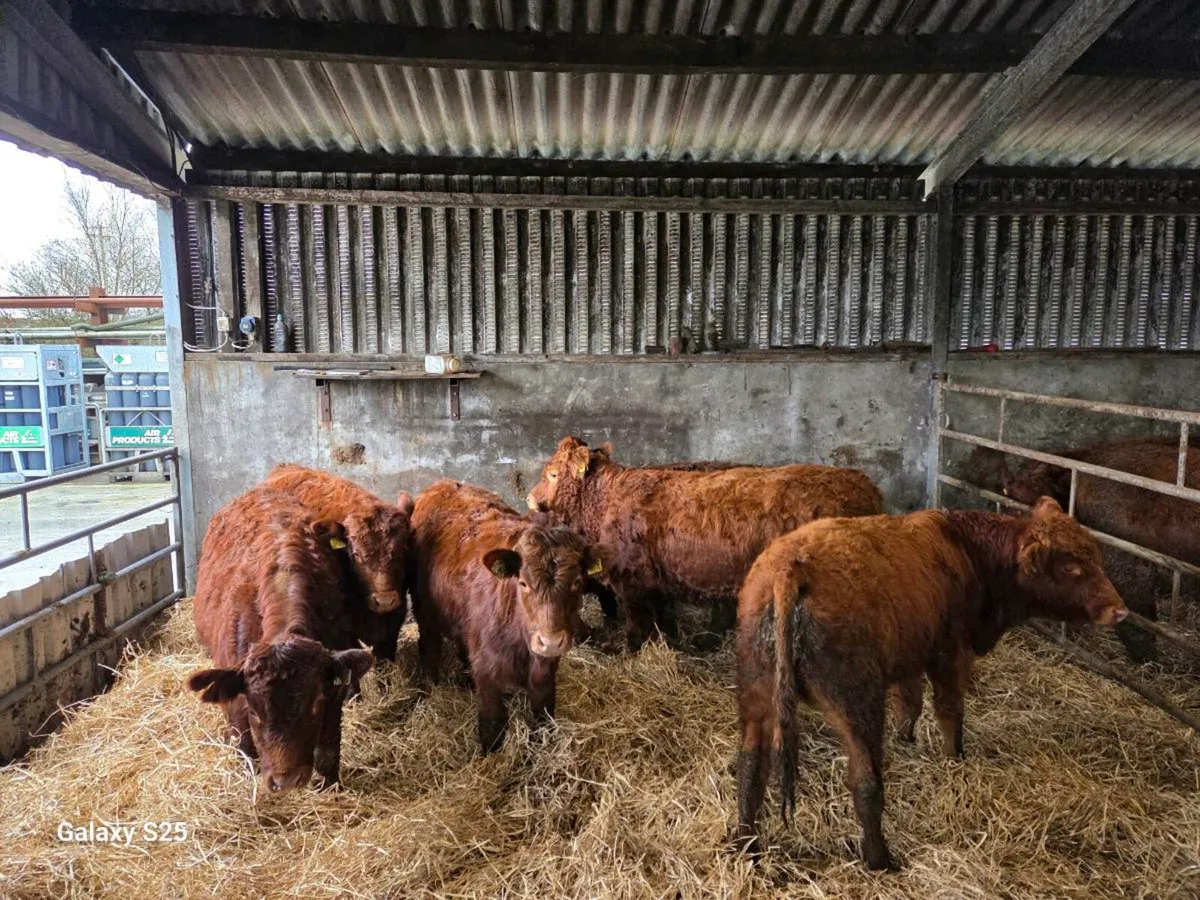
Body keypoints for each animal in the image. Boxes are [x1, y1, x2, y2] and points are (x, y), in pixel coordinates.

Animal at [188, 488, 375, 795]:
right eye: (255, 711)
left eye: (316, 704)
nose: (286, 781)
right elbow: (243, 742)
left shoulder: (333, 689)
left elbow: (328, 748)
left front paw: (330, 785)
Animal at [410, 480, 604, 754]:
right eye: (523, 583)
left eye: (577, 581)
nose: (551, 642)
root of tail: (443, 484)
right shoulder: (488, 675)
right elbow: (492, 724)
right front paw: (489, 756)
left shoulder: (545, 674)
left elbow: (543, 719)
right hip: (424, 613)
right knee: (429, 649)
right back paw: (427, 690)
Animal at [526, 437, 883, 649]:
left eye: (553, 474)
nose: (529, 497)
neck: (606, 501)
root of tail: (863, 484)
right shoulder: (657, 583)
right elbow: (663, 621)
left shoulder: (631, 581)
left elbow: (637, 626)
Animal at [735, 497, 1127, 870]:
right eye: (1071, 567)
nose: (1120, 610)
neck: (967, 552)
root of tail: (793, 567)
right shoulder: (951, 656)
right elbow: (949, 713)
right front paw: (955, 760)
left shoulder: (909, 658)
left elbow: (909, 702)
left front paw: (906, 738)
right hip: (858, 705)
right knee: (865, 782)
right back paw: (880, 860)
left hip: (758, 696)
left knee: (751, 769)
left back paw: (745, 847)